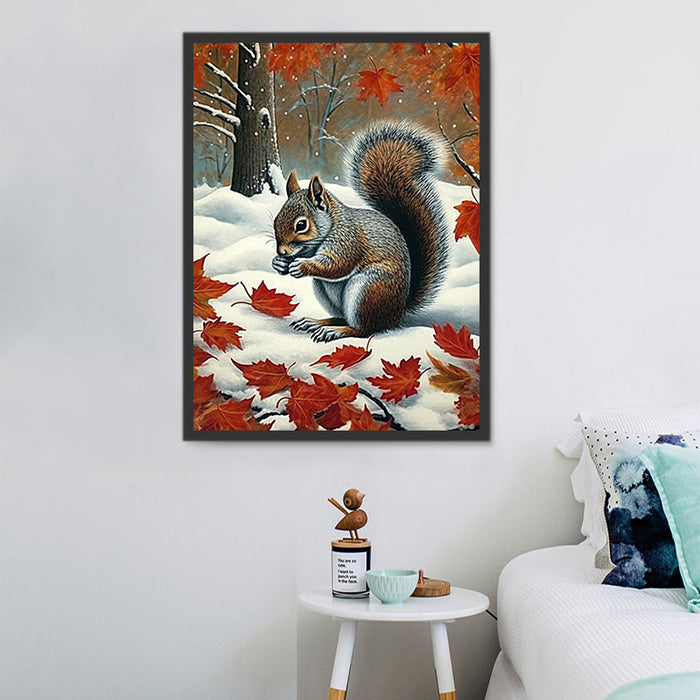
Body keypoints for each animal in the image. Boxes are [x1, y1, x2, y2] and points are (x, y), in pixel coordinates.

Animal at [272, 121, 450, 343]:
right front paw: (279, 263)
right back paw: (316, 323)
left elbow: (337, 265)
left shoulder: (348, 241)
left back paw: (336, 331)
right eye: (276, 219)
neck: (331, 227)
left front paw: (301, 266)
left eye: (301, 225)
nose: (281, 252)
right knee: (341, 317)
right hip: (325, 291)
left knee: (364, 329)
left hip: (367, 289)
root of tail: (397, 313)